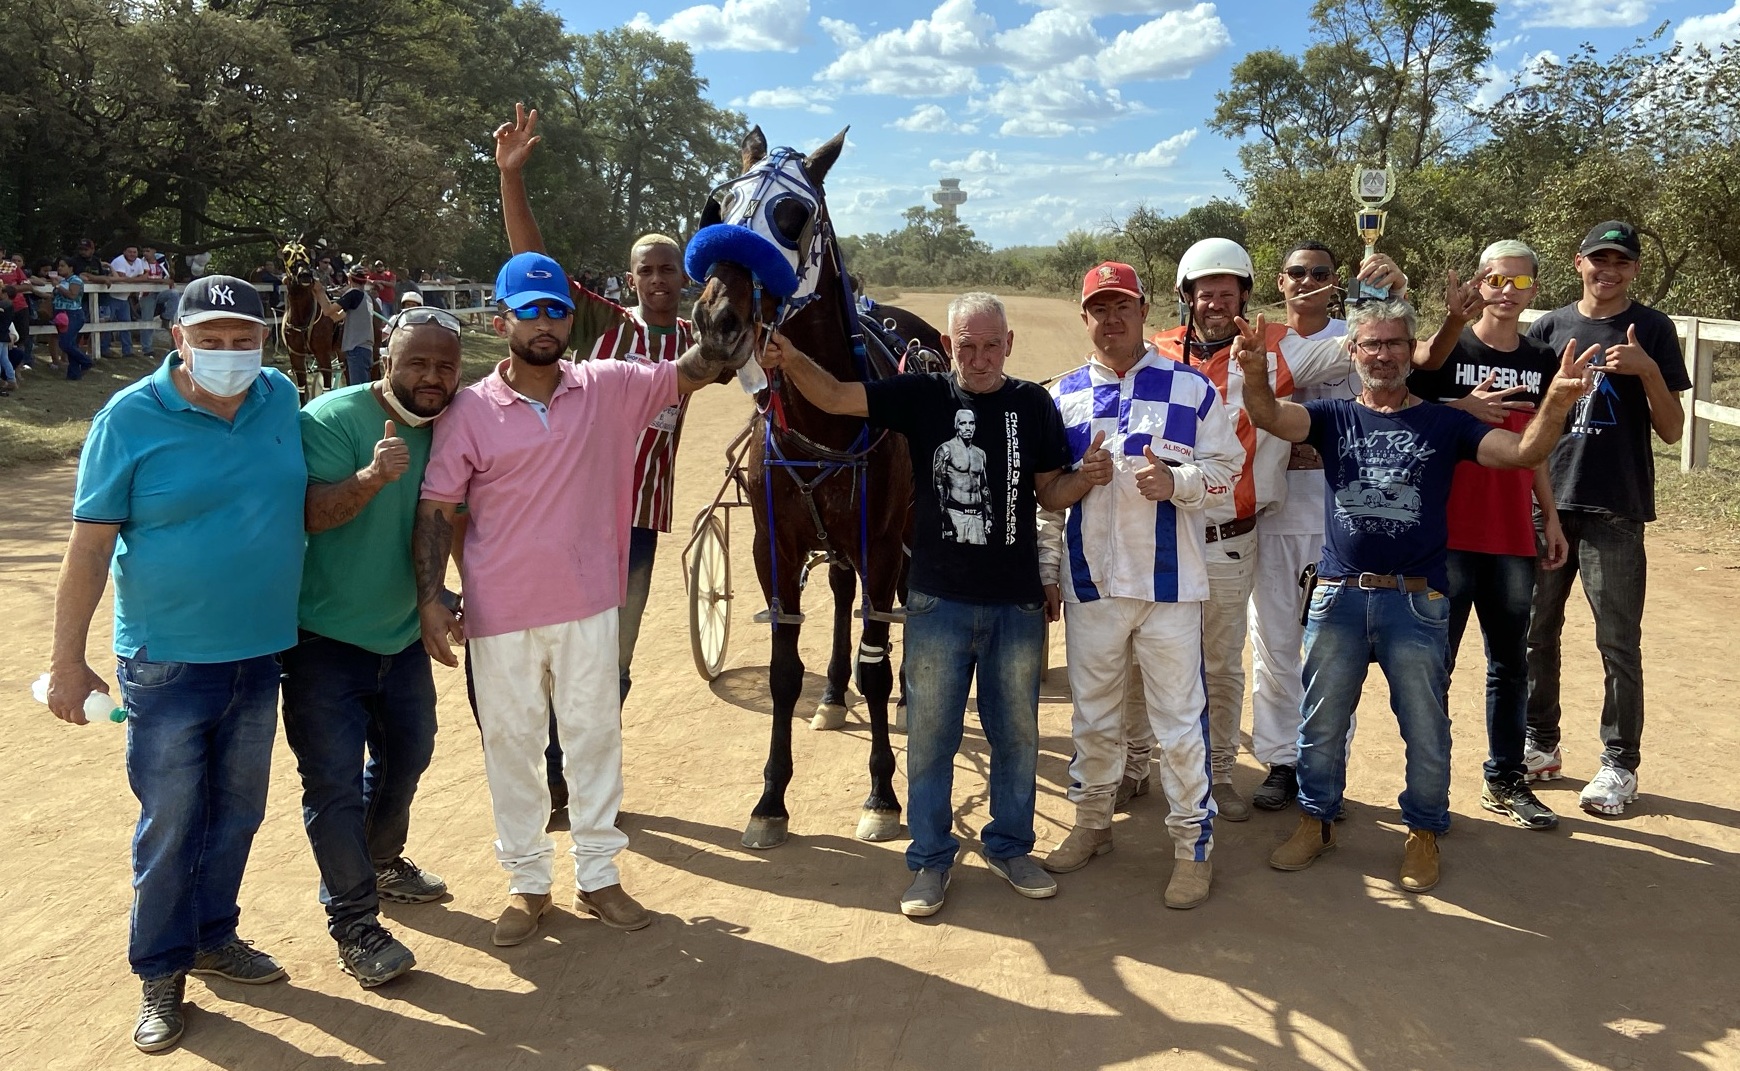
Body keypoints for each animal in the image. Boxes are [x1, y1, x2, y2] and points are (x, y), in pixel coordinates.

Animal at [279, 240, 342, 397]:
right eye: (286, 254)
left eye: (308, 252)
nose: (305, 275)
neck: (302, 318)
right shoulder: (295, 356)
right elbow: (302, 389)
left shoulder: (323, 354)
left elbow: (326, 389)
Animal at [687, 126, 943, 850]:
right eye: (722, 203)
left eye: (792, 215)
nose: (717, 321)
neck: (825, 415)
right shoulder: (773, 543)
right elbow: (782, 673)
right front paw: (771, 799)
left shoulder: (881, 541)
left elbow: (876, 662)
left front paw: (883, 794)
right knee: (839, 591)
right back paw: (831, 696)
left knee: (897, 608)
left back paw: (908, 701)